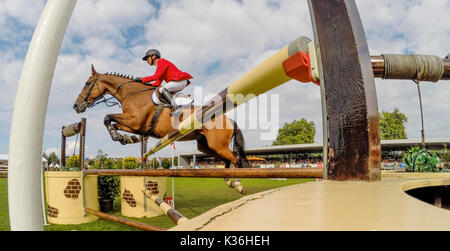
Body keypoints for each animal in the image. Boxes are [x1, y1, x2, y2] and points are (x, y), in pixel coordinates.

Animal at [73, 65, 250, 194]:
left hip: (217, 144)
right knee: (227, 158)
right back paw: (229, 181)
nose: (76, 106)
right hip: (207, 146)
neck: (131, 94)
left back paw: (239, 185)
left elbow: (107, 117)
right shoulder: (134, 125)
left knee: (235, 158)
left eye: (87, 84)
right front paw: (126, 138)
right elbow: (112, 122)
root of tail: (228, 119)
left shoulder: (135, 121)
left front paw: (119, 137)